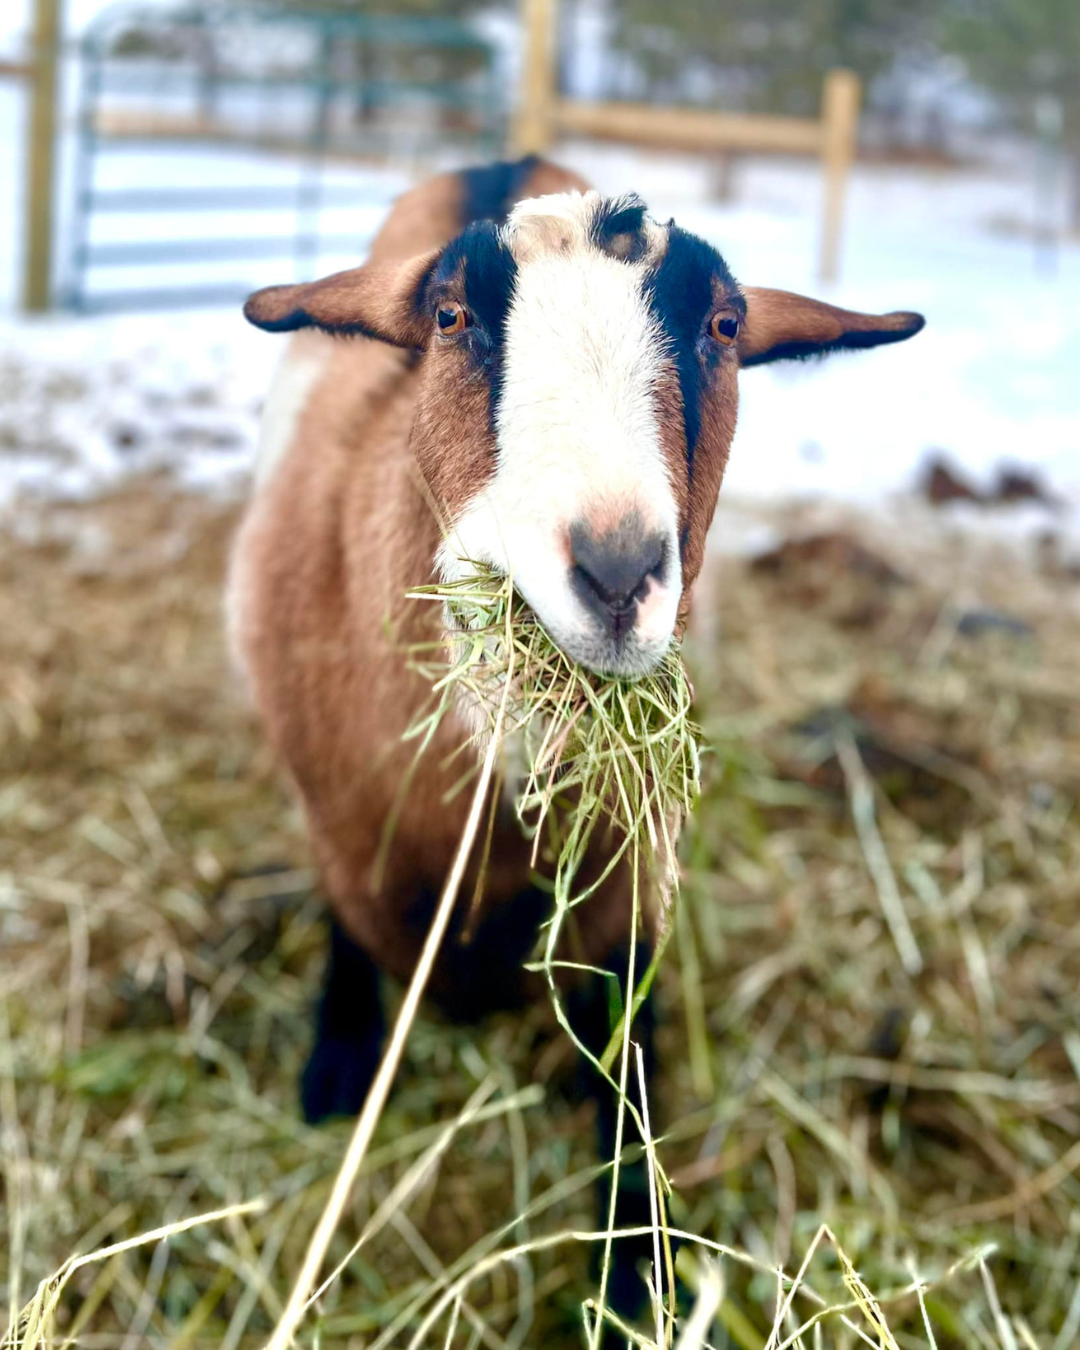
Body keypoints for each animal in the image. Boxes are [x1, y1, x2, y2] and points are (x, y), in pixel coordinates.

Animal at [229, 154, 924, 1333]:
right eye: (451, 317)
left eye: (724, 325)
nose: (614, 571)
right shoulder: (341, 824)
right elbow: (348, 933)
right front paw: (337, 1066)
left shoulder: (630, 871)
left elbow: (627, 1049)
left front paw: (637, 1264)